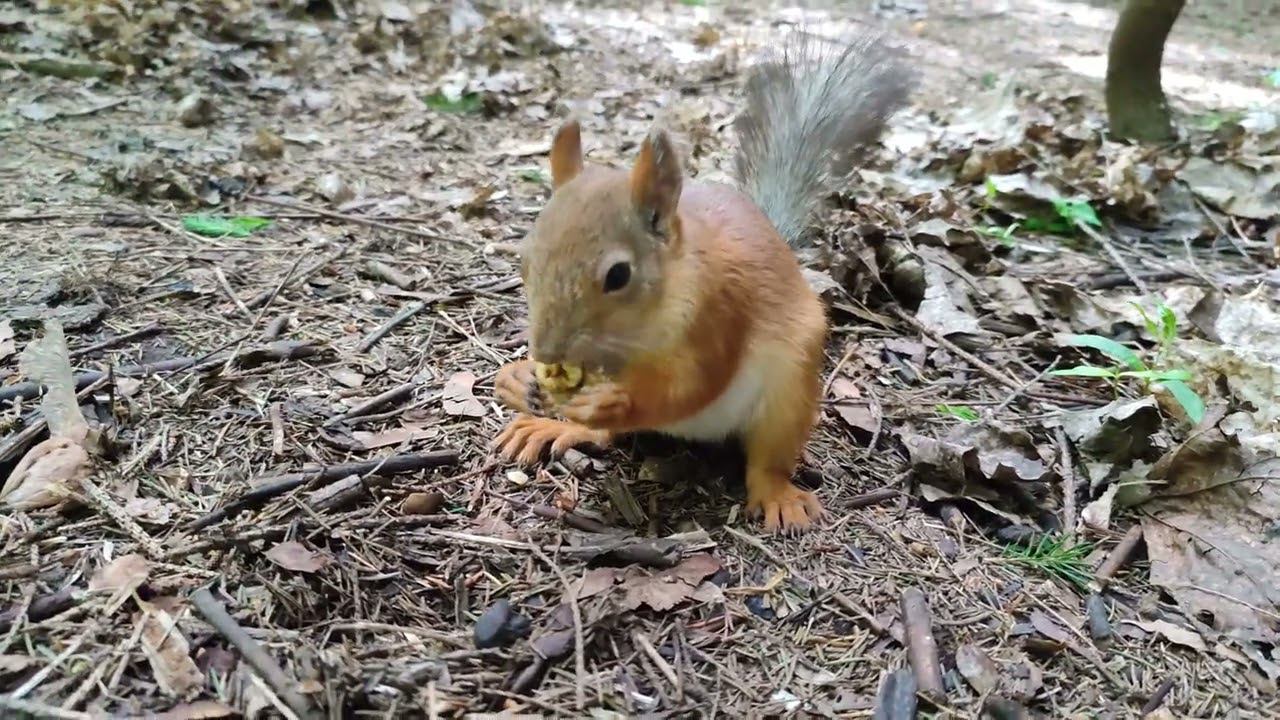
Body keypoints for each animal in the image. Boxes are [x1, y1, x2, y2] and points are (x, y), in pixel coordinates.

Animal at [486, 30, 911, 530]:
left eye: (618, 275)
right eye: (523, 259)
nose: (548, 352)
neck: (635, 334)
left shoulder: (719, 310)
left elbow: (693, 386)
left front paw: (614, 401)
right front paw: (516, 377)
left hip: (789, 390)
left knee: (767, 458)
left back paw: (778, 495)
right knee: (604, 437)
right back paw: (558, 425)